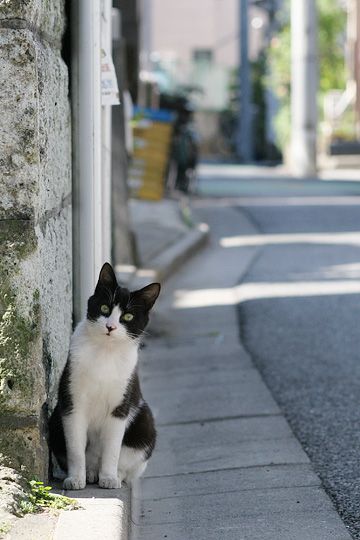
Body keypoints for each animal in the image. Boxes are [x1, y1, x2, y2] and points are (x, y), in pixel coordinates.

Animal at [48, 262, 160, 490]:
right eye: (104, 309)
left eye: (128, 317)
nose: (110, 326)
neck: (105, 354)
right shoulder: (72, 402)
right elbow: (75, 449)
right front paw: (75, 479)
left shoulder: (120, 406)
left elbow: (112, 449)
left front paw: (108, 478)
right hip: (55, 421)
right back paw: (90, 473)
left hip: (145, 423)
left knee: (128, 461)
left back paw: (113, 475)